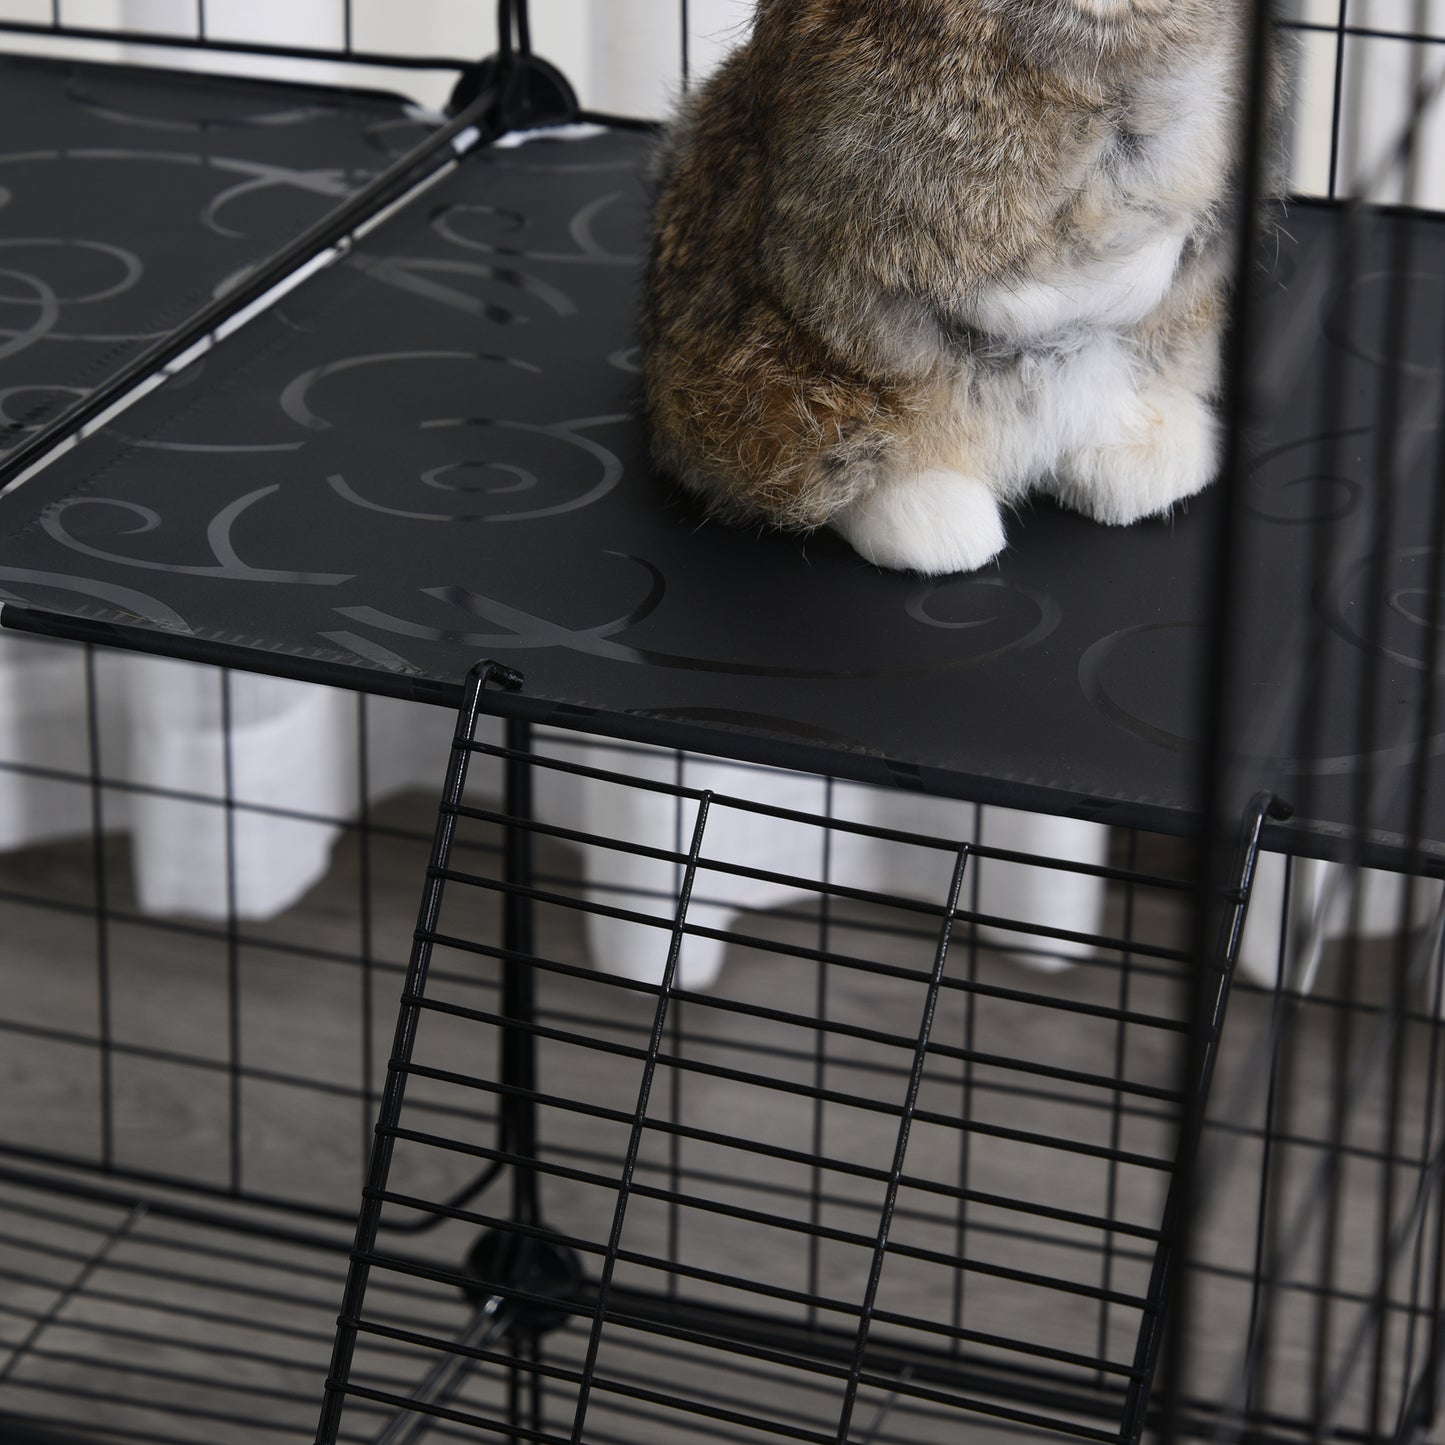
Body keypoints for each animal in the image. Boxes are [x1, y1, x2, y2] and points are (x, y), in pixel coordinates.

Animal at [643, 0, 1283, 575]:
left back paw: (1147, 462)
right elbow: (1015, 284)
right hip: (797, 398)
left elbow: (1170, 230)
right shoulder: (901, 206)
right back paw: (939, 526)